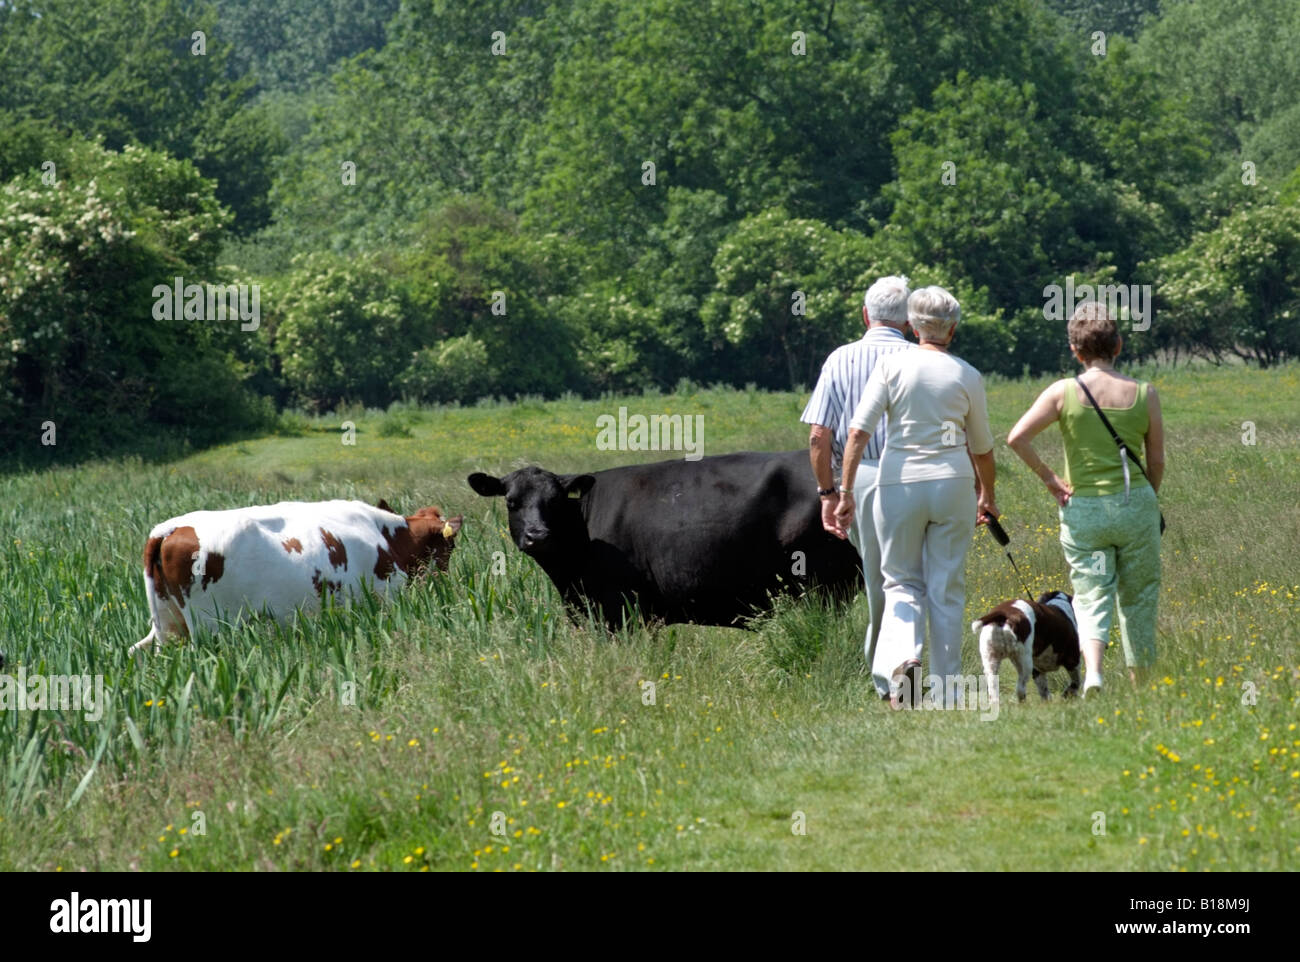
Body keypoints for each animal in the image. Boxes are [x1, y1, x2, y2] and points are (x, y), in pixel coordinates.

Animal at [134, 496, 460, 652]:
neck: (388, 538)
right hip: (209, 627)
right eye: (451, 546)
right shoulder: (385, 598)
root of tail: (170, 528)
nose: (448, 580)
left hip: (167, 624)